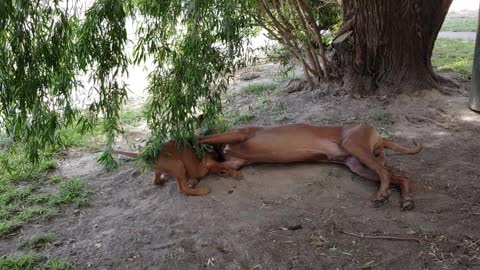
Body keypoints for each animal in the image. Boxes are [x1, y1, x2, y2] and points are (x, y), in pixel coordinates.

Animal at [112, 140, 240, 195]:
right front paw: (234, 172)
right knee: (182, 189)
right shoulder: (209, 163)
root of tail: (152, 153)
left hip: (165, 169)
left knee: (156, 181)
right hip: (179, 165)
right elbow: (223, 165)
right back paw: (200, 190)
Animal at [197, 123, 422, 210]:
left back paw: (382, 194)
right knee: (398, 177)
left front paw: (191, 137)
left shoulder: (239, 134)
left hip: (355, 146)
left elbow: (203, 137)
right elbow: (216, 164)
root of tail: (380, 136)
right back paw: (406, 199)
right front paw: (226, 172)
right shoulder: (236, 161)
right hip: (357, 165)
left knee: (385, 173)